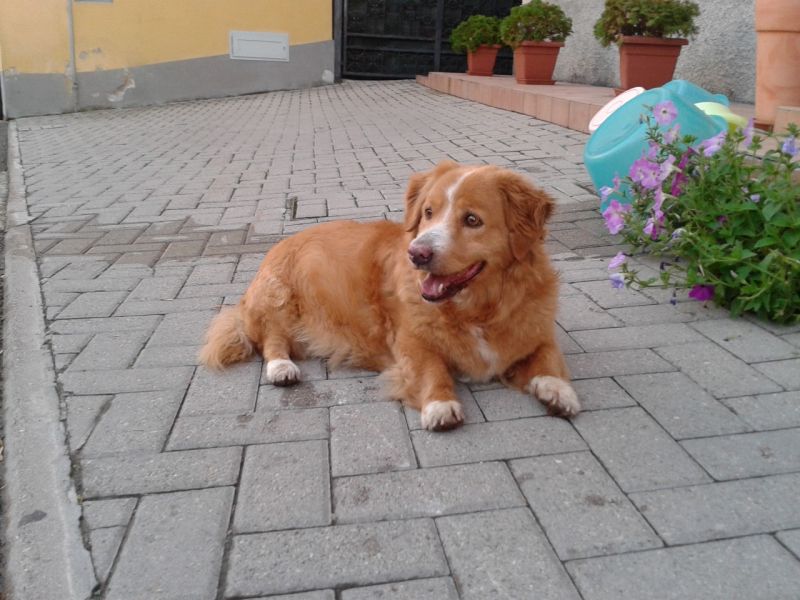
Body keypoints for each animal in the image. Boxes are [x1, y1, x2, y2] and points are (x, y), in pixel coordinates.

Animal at [198, 161, 580, 432]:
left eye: (472, 220)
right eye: (428, 213)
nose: (417, 254)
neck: (478, 310)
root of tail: (283, 240)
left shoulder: (538, 330)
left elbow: (549, 357)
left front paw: (557, 389)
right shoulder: (410, 342)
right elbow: (432, 369)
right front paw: (440, 405)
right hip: (277, 297)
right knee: (271, 339)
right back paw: (281, 367)